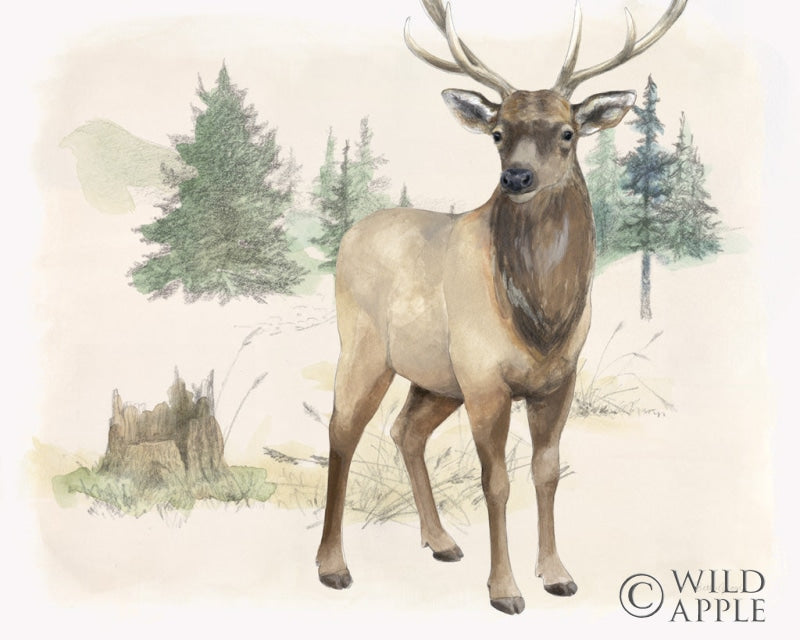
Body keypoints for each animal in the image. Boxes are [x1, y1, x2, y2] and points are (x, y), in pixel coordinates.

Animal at [316, 0, 687, 614]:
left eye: (567, 132)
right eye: (497, 132)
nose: (516, 175)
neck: (542, 319)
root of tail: (352, 233)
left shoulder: (558, 378)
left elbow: (547, 472)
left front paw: (557, 574)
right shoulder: (486, 378)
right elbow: (497, 482)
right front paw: (505, 589)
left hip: (436, 378)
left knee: (404, 431)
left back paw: (441, 541)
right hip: (364, 348)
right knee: (342, 430)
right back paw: (332, 565)